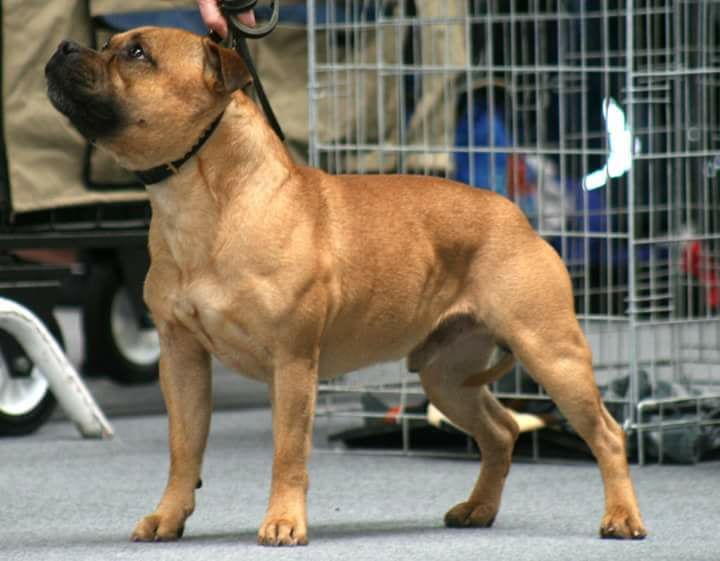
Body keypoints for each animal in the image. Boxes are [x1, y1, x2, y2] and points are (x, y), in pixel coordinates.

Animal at [45, 27, 647, 546]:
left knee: (607, 433)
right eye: (107, 43)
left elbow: (288, 452)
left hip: (551, 352)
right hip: (446, 376)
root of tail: (516, 216)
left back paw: (621, 518)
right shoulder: (182, 357)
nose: (64, 45)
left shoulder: (292, 362)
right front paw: (168, 517)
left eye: (137, 53)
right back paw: (478, 509)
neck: (204, 202)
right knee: (500, 430)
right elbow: (184, 446)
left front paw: (283, 523)